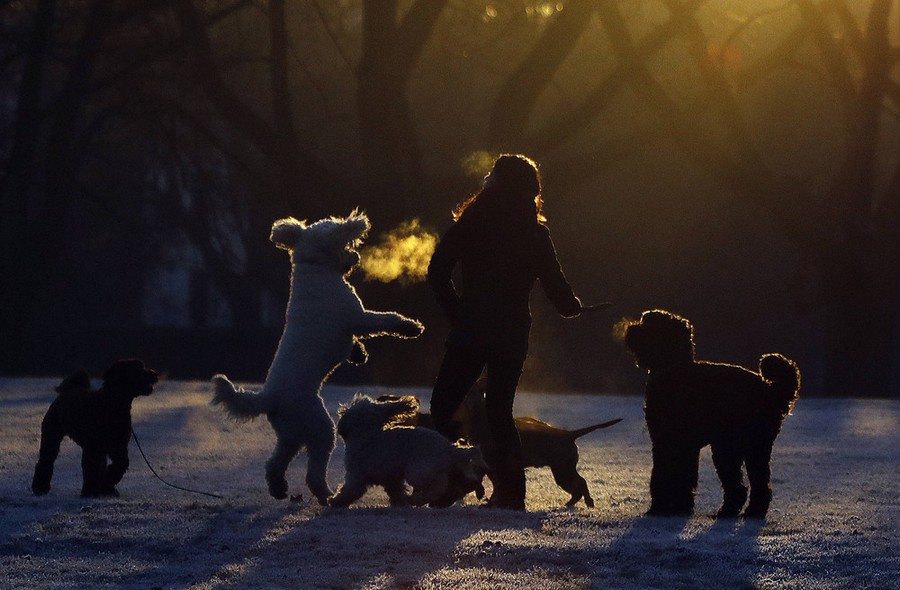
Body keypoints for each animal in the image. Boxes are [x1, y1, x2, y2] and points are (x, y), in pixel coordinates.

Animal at [30, 360, 158, 500]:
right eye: (137, 369)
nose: (154, 374)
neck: (112, 404)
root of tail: (67, 391)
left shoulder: (118, 447)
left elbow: (120, 464)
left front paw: (106, 487)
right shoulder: (93, 447)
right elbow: (91, 468)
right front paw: (90, 492)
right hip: (52, 436)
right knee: (46, 460)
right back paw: (40, 488)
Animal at [212, 210, 426, 506]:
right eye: (341, 237)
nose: (355, 256)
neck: (314, 267)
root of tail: (268, 397)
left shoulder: (351, 325)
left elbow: (355, 342)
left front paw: (358, 354)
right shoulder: (358, 318)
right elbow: (386, 321)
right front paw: (411, 327)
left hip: (290, 434)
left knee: (274, 464)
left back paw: (279, 489)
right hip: (320, 429)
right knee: (313, 473)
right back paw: (328, 495)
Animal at [326, 394, 488, 508]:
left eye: (347, 412)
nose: (341, 412)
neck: (366, 433)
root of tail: (449, 448)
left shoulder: (356, 476)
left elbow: (349, 491)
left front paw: (334, 501)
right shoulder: (391, 478)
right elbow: (396, 490)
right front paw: (399, 503)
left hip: (417, 471)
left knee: (439, 485)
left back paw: (416, 499)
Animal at [380, 382, 620, 512]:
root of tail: (569, 434)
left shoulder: (492, 468)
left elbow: (494, 486)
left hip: (562, 470)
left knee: (581, 483)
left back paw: (585, 501)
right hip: (563, 470)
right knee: (579, 484)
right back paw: (574, 502)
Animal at [624, 312, 800, 520]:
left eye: (647, 324)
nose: (630, 328)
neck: (675, 370)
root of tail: (770, 390)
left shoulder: (667, 441)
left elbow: (662, 475)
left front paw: (660, 508)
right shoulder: (683, 445)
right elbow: (684, 476)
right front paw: (681, 507)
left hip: (734, 447)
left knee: (744, 486)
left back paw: (737, 512)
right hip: (748, 449)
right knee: (756, 484)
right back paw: (745, 512)